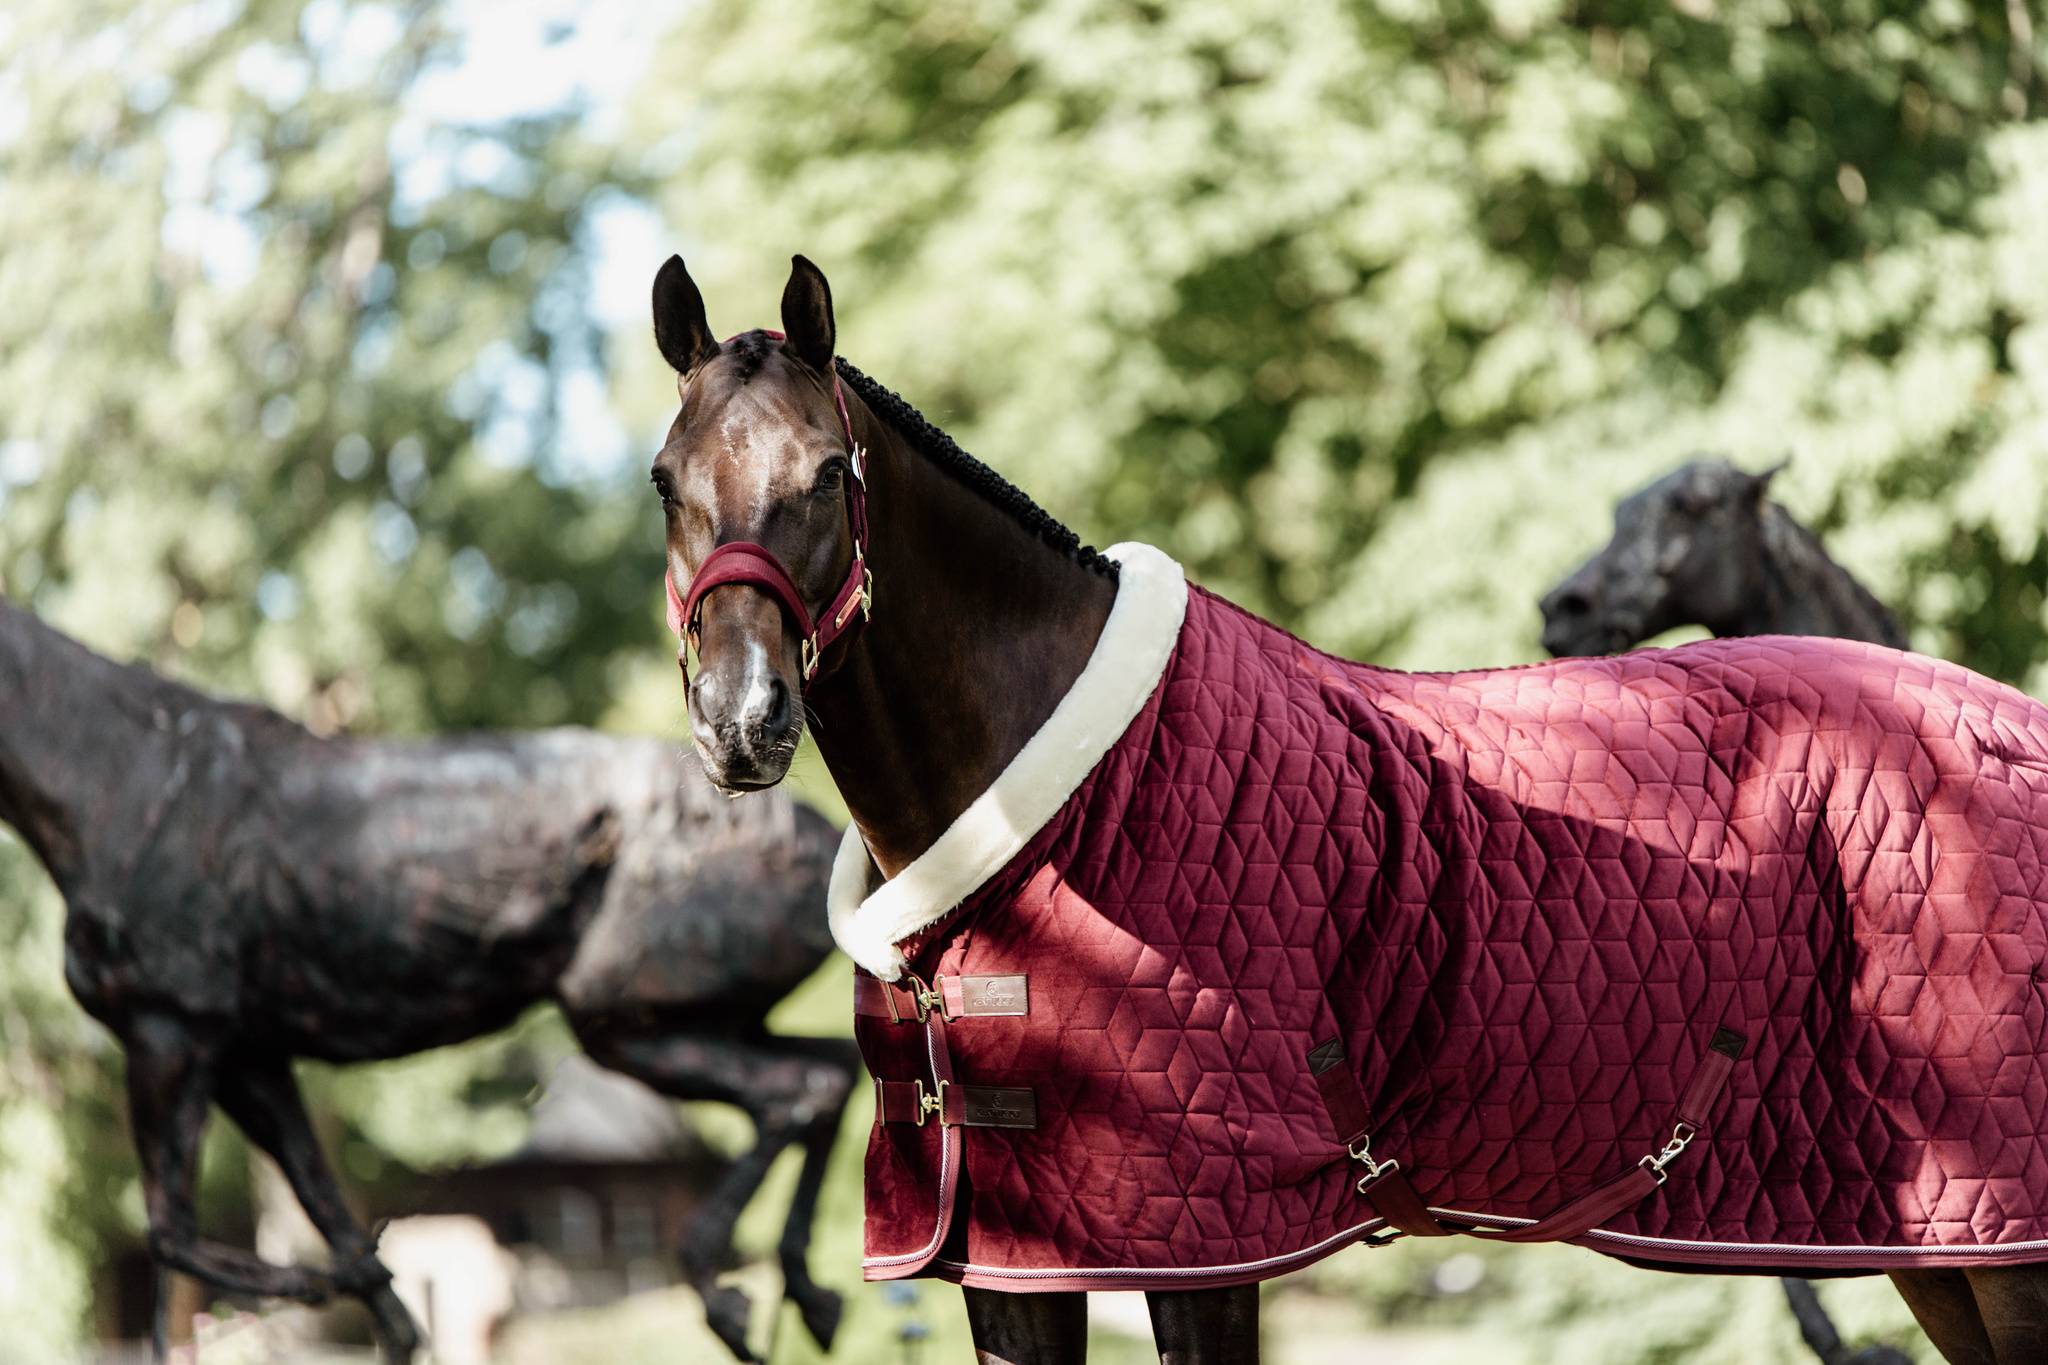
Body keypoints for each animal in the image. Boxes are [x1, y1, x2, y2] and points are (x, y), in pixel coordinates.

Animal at [0, 601, 847, 1365]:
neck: (125, 782)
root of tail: (827, 838)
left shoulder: (170, 1031)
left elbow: (172, 1233)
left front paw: (308, 1286)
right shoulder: (247, 1052)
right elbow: (335, 1224)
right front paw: (365, 1290)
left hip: (629, 1021)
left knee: (795, 1092)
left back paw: (730, 1293)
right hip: (696, 1020)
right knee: (828, 1074)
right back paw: (810, 1296)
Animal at [647, 253, 2048, 1358]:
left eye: (830, 472)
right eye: (665, 477)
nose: (741, 718)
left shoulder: (1196, 1246)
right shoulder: (1010, 1257)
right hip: (1930, 1241)